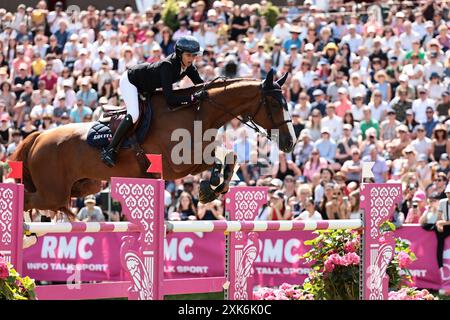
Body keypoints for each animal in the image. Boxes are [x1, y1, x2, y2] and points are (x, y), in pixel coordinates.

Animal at [9, 70, 296, 215]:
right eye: (274, 104)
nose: (290, 143)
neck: (197, 112)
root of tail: (38, 137)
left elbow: (229, 156)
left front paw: (215, 187)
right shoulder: (178, 164)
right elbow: (217, 157)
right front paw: (210, 185)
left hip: (83, 187)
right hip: (52, 192)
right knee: (29, 201)